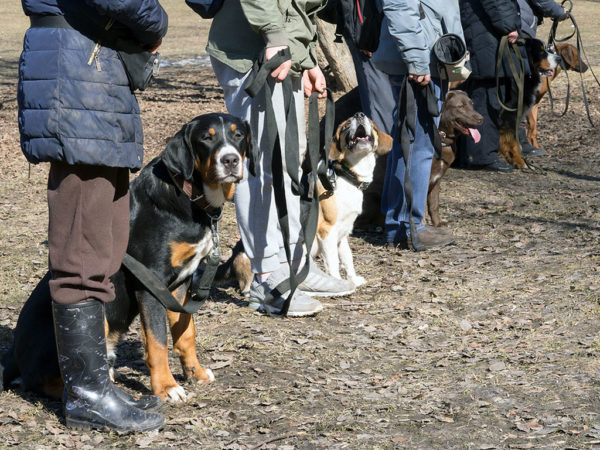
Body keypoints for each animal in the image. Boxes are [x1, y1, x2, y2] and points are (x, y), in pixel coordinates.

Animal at [0, 114, 253, 402]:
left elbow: (185, 333)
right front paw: (166, 388)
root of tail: (14, 353)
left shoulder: (180, 285)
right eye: (206, 138)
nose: (230, 160)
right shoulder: (151, 284)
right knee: (45, 380)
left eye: (238, 135)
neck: (190, 197)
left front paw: (195, 373)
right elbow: (157, 341)